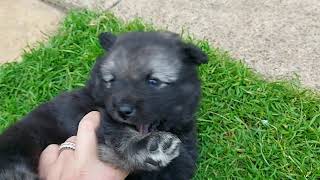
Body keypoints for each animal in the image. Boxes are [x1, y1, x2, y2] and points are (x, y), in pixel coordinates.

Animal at [0, 31, 208, 179]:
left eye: (153, 81)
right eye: (112, 80)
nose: (122, 110)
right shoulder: (98, 122)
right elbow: (116, 135)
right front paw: (148, 146)